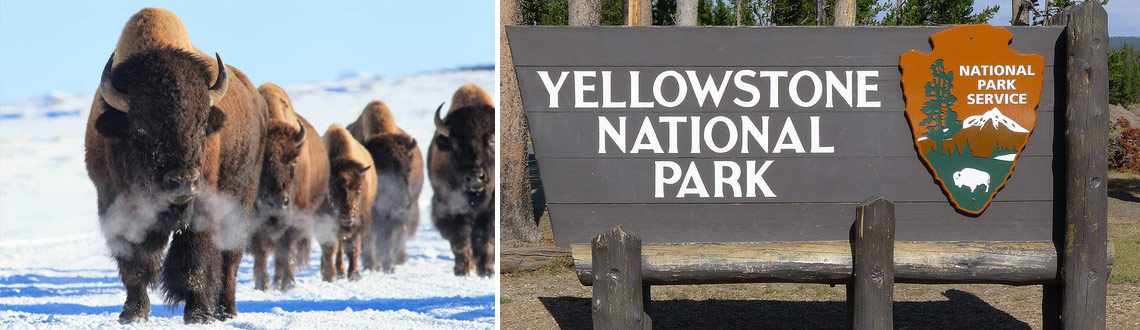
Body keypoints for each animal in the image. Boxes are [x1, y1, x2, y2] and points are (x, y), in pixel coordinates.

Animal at [84, 7, 266, 322]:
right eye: (141, 131)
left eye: (202, 126)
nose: (183, 182)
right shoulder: (115, 205)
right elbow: (134, 264)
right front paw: (132, 313)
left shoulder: (202, 207)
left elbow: (193, 261)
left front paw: (198, 314)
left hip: (242, 198)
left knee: (230, 259)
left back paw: (225, 312)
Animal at [245, 82, 326, 290]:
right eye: (262, 161)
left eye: (294, 161)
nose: (278, 203)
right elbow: (261, 250)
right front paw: (262, 284)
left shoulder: (295, 218)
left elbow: (287, 250)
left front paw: (289, 284)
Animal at [319, 122, 376, 279]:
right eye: (333, 190)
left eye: (359, 190)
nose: (348, 217)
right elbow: (330, 247)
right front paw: (331, 275)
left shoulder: (358, 225)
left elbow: (353, 248)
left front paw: (355, 275)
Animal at [346, 100, 424, 271]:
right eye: (381, 170)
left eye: (408, 169)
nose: (402, 202)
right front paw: (372, 265)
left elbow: (389, 238)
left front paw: (389, 266)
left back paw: (398, 259)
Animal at [428, 82, 497, 275]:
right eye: (456, 144)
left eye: (492, 140)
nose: (475, 177)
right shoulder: (447, 206)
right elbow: (459, 239)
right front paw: (462, 269)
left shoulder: (490, 210)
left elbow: (486, 239)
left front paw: (486, 270)